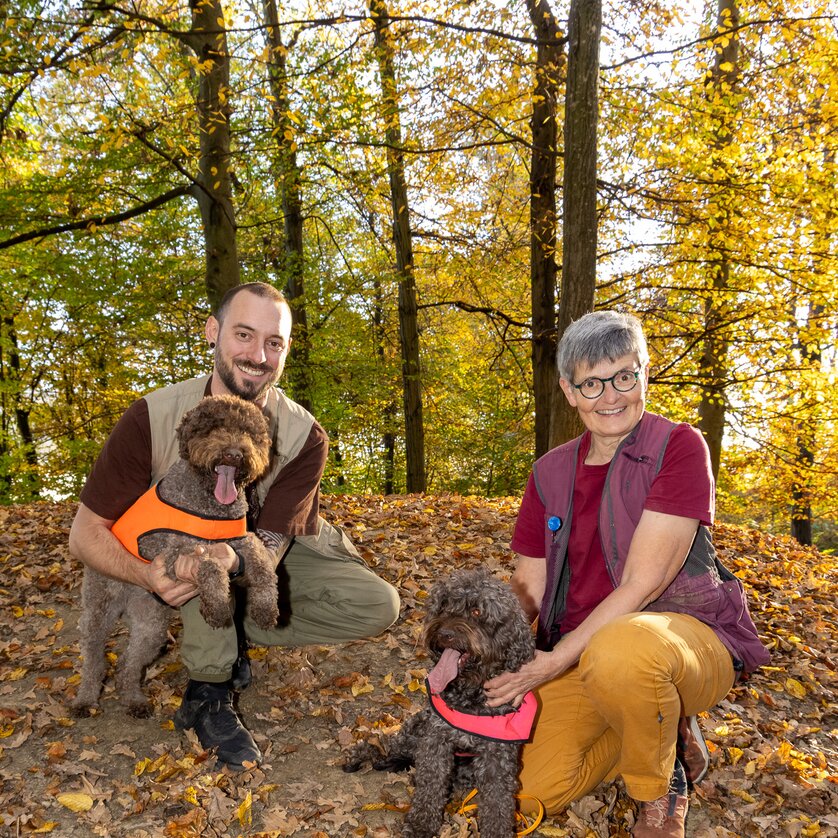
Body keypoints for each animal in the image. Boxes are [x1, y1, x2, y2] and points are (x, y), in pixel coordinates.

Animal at [72, 398, 276, 720]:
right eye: (213, 428)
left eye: (249, 433)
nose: (234, 453)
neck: (211, 502)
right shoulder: (175, 553)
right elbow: (210, 566)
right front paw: (217, 605)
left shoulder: (241, 541)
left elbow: (264, 565)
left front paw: (266, 608)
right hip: (98, 610)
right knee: (93, 659)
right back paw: (85, 700)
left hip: (151, 624)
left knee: (128, 663)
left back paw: (134, 700)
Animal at [342, 568, 536, 836]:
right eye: (444, 605)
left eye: (477, 612)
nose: (445, 634)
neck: (468, 698)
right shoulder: (435, 740)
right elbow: (431, 785)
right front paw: (421, 824)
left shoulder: (497, 756)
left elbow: (498, 802)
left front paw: (497, 831)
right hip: (415, 731)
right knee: (389, 744)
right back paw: (365, 754)